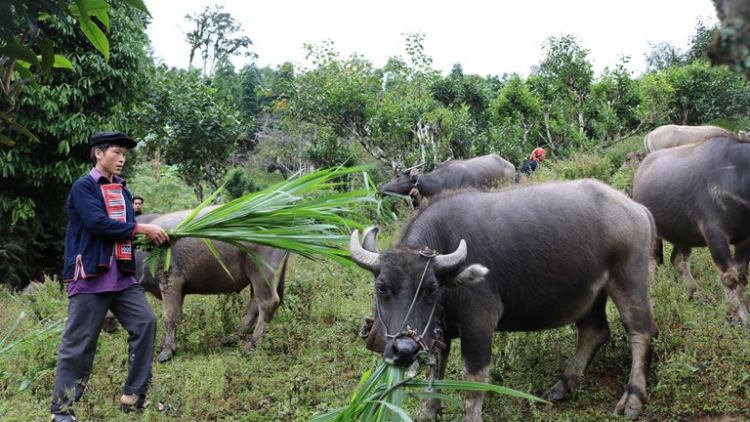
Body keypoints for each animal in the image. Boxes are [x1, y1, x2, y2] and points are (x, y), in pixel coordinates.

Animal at [137, 209, 290, 362]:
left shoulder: (171, 280)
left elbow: (170, 315)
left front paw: (167, 351)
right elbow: (177, 313)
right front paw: (163, 343)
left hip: (261, 270)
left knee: (268, 303)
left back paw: (249, 345)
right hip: (255, 273)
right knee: (255, 303)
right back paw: (233, 337)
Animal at [352, 179, 656, 422]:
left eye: (431, 289)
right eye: (382, 288)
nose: (403, 350)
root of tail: (638, 209)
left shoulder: (478, 323)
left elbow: (473, 381)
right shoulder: (437, 333)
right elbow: (433, 374)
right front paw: (428, 411)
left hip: (628, 278)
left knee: (640, 330)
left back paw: (633, 398)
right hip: (591, 294)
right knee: (594, 331)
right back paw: (561, 386)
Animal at [636, 137, 750, 322]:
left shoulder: (746, 238)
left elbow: (742, 275)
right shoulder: (714, 235)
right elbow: (730, 277)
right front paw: (739, 315)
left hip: (683, 234)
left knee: (678, 259)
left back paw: (694, 294)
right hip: (653, 234)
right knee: (653, 264)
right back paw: (653, 300)